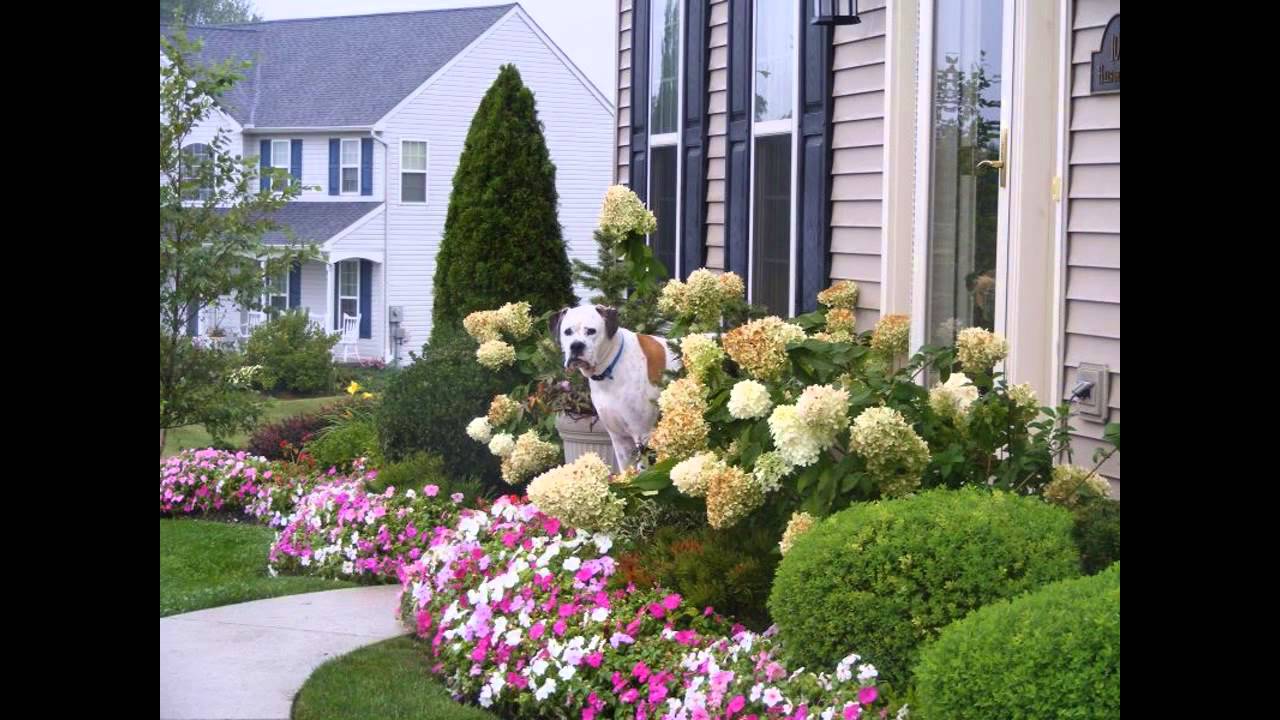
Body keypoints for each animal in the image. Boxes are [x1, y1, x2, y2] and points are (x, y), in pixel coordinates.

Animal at [550, 303, 680, 468]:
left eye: (591, 331)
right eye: (567, 332)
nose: (576, 345)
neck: (610, 368)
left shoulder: (643, 435)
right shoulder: (619, 439)